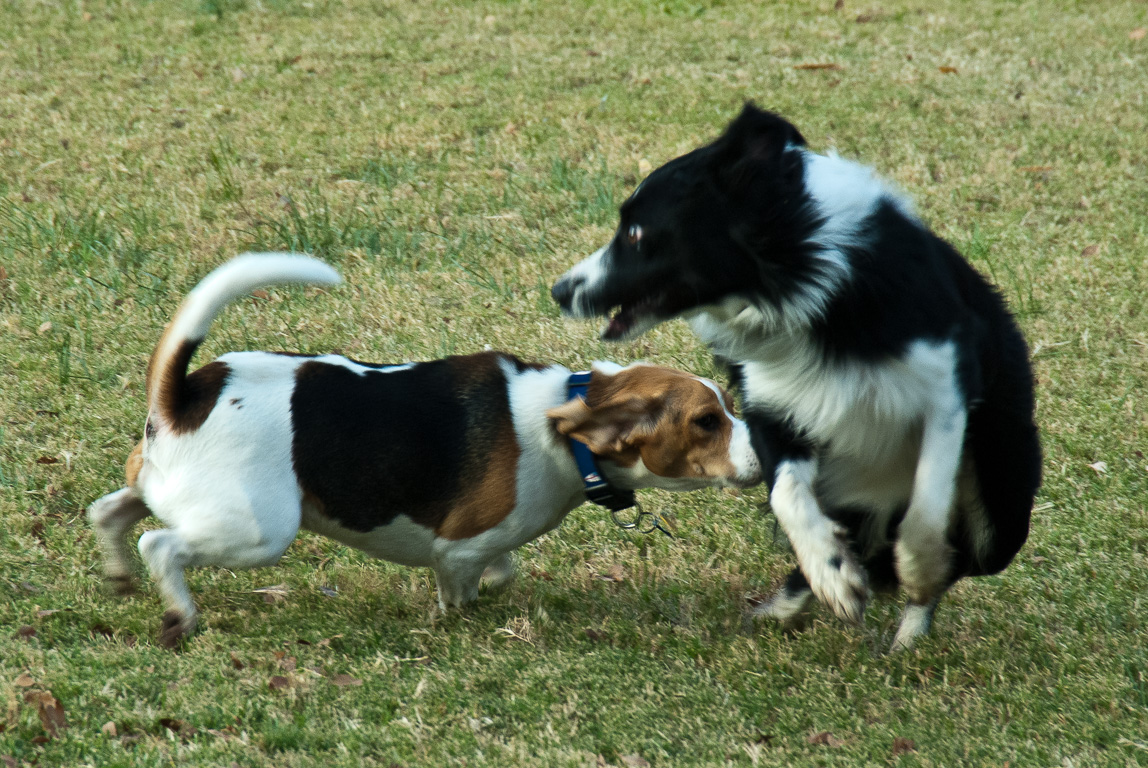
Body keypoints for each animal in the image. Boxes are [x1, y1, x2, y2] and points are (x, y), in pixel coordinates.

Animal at [91, 254, 762, 642]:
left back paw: (119, 576)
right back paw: (179, 615)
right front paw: (453, 624)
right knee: (160, 545)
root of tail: (184, 393)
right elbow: (459, 593)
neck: (565, 427)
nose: (767, 456)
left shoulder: (488, 544)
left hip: (166, 490)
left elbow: (502, 570)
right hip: (258, 530)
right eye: (707, 421)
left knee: (111, 513)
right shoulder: (458, 549)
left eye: (728, 405)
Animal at [551, 105, 1046, 652]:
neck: (798, 288)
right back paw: (793, 604)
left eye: (636, 234)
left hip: (1002, 499)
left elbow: (926, 505)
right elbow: (787, 494)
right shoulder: (774, 402)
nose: (559, 291)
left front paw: (918, 570)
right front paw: (832, 576)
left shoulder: (946, 386)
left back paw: (908, 634)